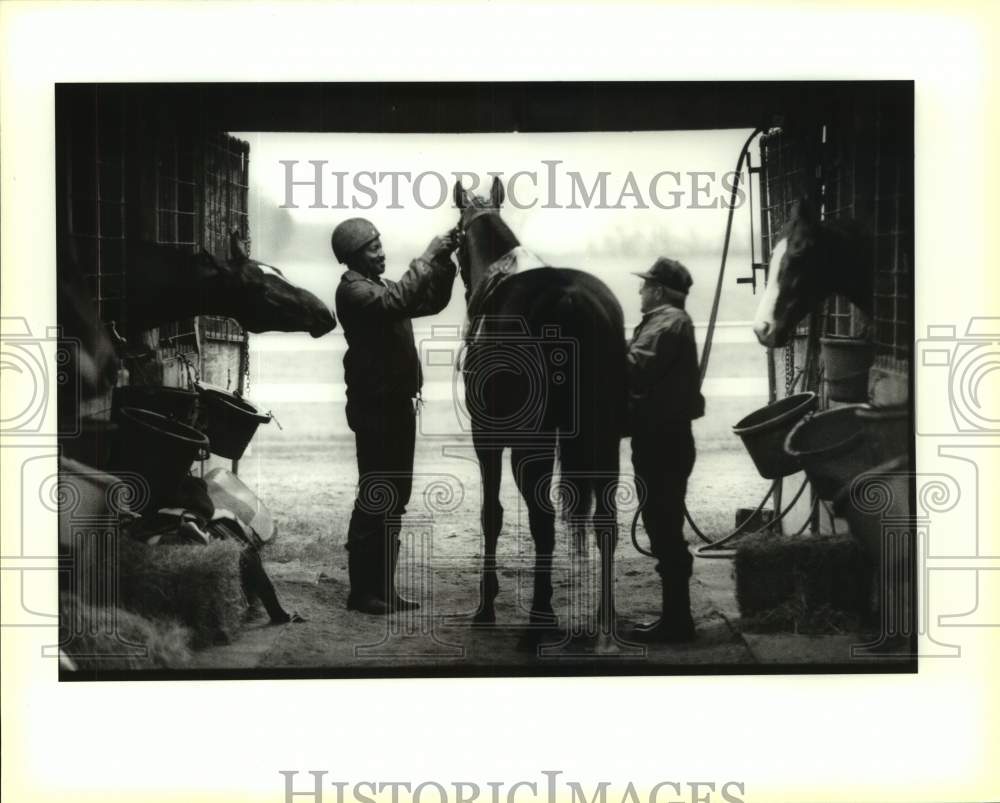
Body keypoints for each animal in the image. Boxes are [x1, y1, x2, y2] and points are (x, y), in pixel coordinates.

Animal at [452, 176, 624, 648]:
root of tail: (569, 302)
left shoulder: (488, 436)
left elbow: (492, 514)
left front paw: (486, 607)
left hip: (532, 442)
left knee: (543, 518)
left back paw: (540, 620)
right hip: (604, 437)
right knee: (605, 521)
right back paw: (604, 622)